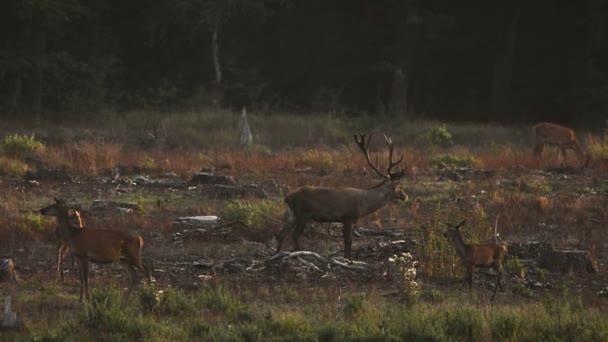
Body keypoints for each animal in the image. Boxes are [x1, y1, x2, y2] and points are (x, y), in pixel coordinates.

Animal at [276, 134, 408, 260]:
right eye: (397, 187)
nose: (405, 196)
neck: (364, 204)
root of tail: (287, 197)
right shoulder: (348, 217)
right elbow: (348, 240)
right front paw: (348, 259)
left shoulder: (347, 220)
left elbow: (348, 240)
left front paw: (347, 258)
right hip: (303, 213)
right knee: (294, 235)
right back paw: (300, 253)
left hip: (292, 215)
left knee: (280, 234)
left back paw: (277, 254)